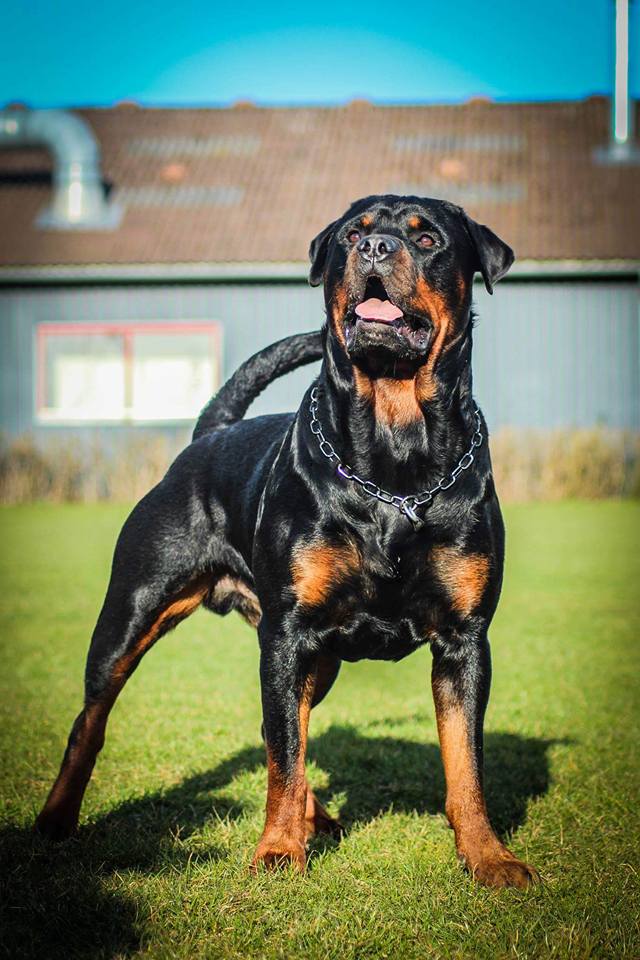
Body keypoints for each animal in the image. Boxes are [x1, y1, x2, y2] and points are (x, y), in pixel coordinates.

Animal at [36, 197, 540, 892]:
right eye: (353, 234)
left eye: (428, 239)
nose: (376, 249)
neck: (395, 454)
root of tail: (209, 434)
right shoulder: (290, 632)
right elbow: (283, 757)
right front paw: (276, 852)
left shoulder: (463, 640)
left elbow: (465, 762)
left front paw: (489, 856)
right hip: (135, 611)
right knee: (94, 719)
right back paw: (57, 818)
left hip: (316, 657)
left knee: (283, 724)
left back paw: (314, 818)